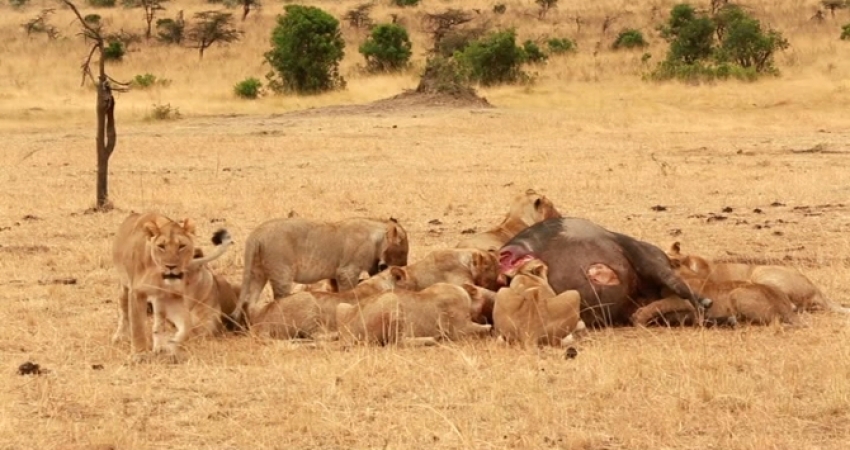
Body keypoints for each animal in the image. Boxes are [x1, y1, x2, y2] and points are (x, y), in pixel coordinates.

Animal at [111, 212, 235, 362]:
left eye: (181, 246)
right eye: (161, 246)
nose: (171, 267)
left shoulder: (173, 297)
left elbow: (186, 326)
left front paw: (172, 343)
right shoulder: (137, 292)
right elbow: (137, 326)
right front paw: (139, 354)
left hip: (160, 299)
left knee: (159, 323)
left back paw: (160, 346)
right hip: (124, 286)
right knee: (124, 310)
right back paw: (120, 336)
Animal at [229, 216, 408, 326]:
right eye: (404, 252)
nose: (405, 266)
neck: (377, 237)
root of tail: (256, 234)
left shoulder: (336, 274)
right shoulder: (347, 271)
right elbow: (349, 292)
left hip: (258, 272)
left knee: (250, 302)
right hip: (282, 273)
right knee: (278, 299)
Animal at [332, 282, 490, 348]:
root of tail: (347, 334)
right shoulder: (459, 328)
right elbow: (484, 329)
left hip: (342, 307)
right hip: (392, 300)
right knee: (396, 342)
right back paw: (431, 339)